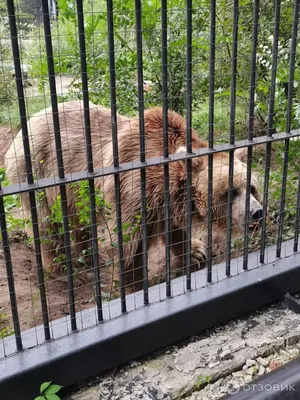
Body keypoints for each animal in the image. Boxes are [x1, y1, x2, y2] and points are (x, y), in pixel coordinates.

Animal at [4, 101, 262, 292]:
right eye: (229, 192)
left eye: (251, 188)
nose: (256, 212)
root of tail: (28, 123)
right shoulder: (134, 193)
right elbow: (130, 246)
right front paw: (136, 286)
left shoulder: (166, 204)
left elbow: (176, 230)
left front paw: (196, 251)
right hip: (39, 173)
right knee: (48, 226)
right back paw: (71, 272)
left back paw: (91, 257)